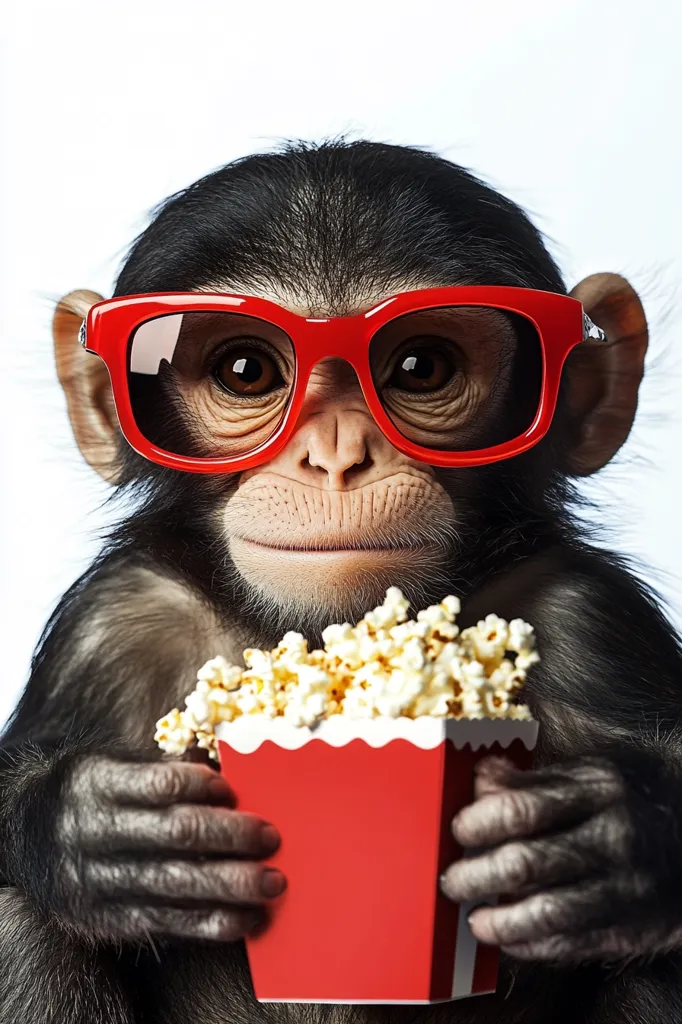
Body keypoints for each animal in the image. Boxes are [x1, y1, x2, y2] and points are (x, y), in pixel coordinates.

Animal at [2, 138, 682, 1024]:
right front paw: (88, 829)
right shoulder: (110, 622)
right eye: (246, 370)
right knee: (21, 926)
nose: (335, 455)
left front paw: (613, 834)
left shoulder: (597, 619)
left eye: (421, 367)